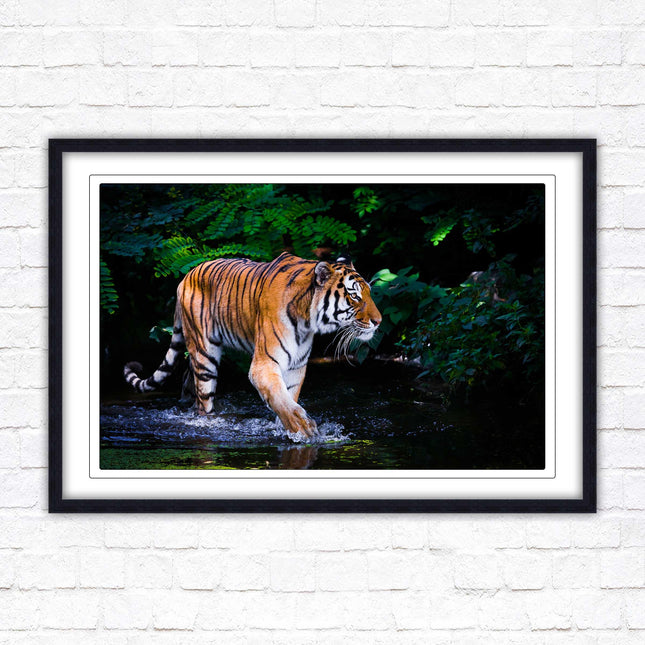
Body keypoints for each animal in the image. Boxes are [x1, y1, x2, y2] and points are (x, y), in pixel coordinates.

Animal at [123, 252, 382, 437]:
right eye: (354, 296)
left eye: (369, 293)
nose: (378, 321)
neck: (307, 320)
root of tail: (185, 277)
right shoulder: (264, 364)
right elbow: (280, 399)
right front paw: (302, 428)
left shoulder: (296, 367)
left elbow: (288, 397)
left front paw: (287, 429)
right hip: (204, 354)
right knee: (204, 399)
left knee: (189, 383)